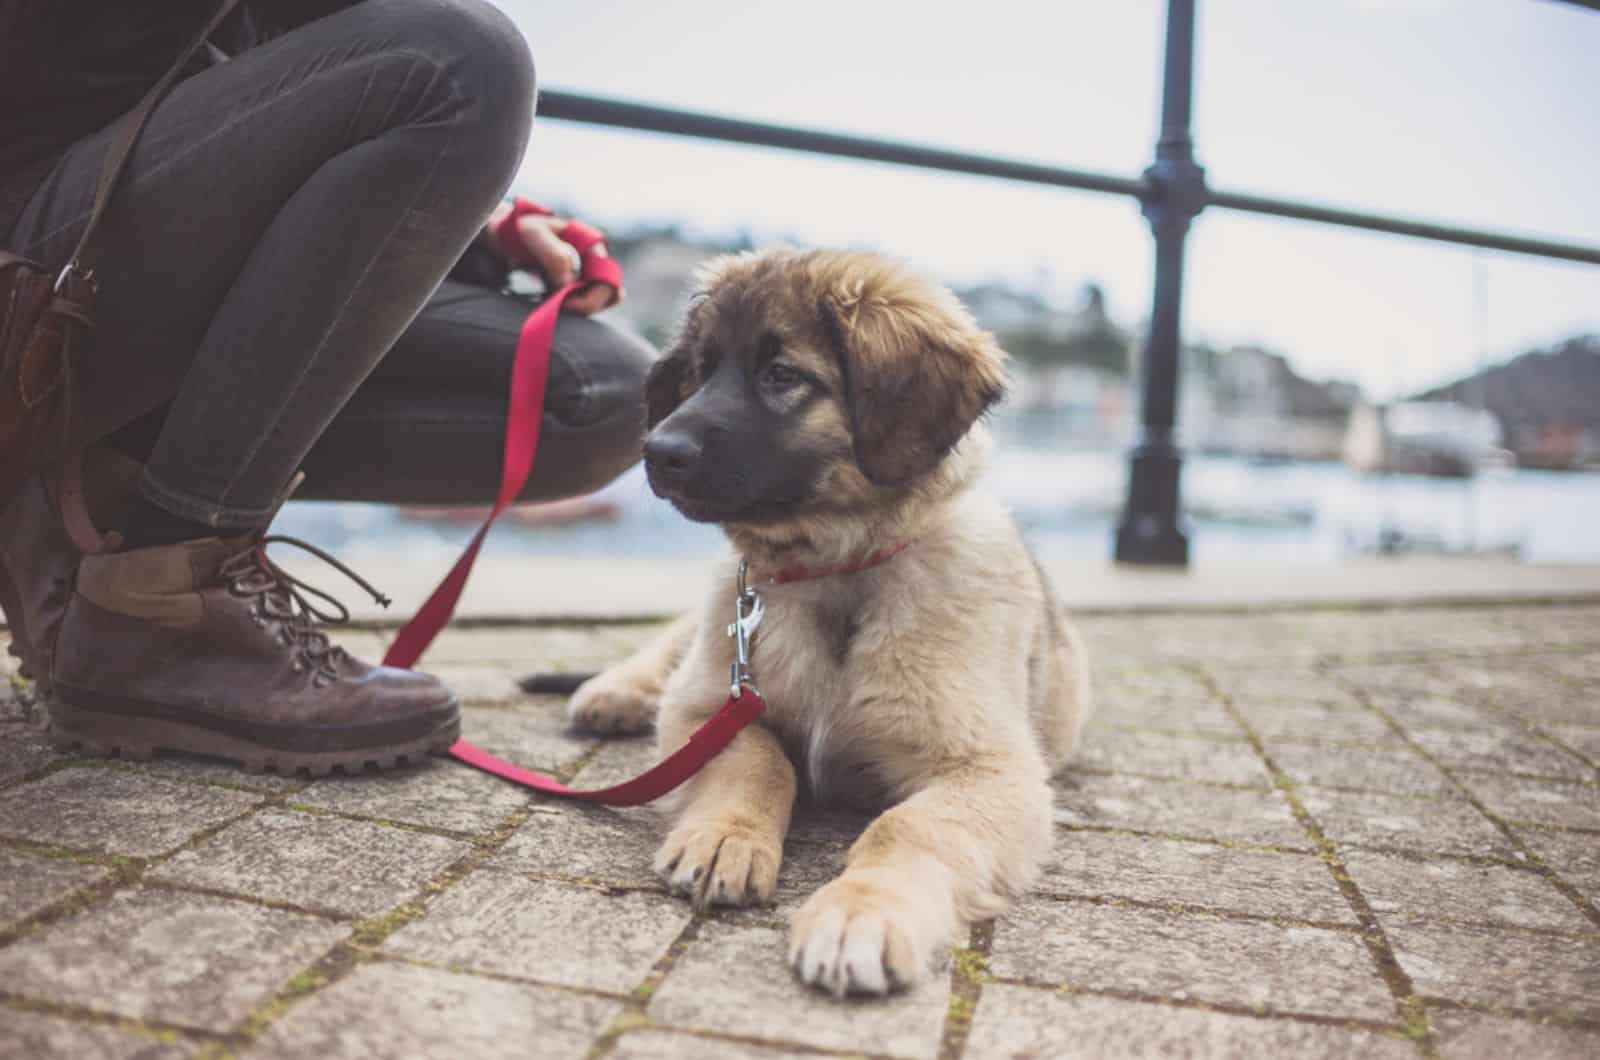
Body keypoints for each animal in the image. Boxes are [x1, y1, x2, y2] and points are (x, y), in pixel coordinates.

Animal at [563, 246, 1088, 999]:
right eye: (701, 369)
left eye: (782, 375)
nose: (655, 450)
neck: (837, 571)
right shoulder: (707, 705)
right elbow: (760, 759)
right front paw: (726, 837)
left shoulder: (991, 768)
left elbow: (908, 827)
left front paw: (861, 912)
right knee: (669, 646)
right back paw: (614, 693)